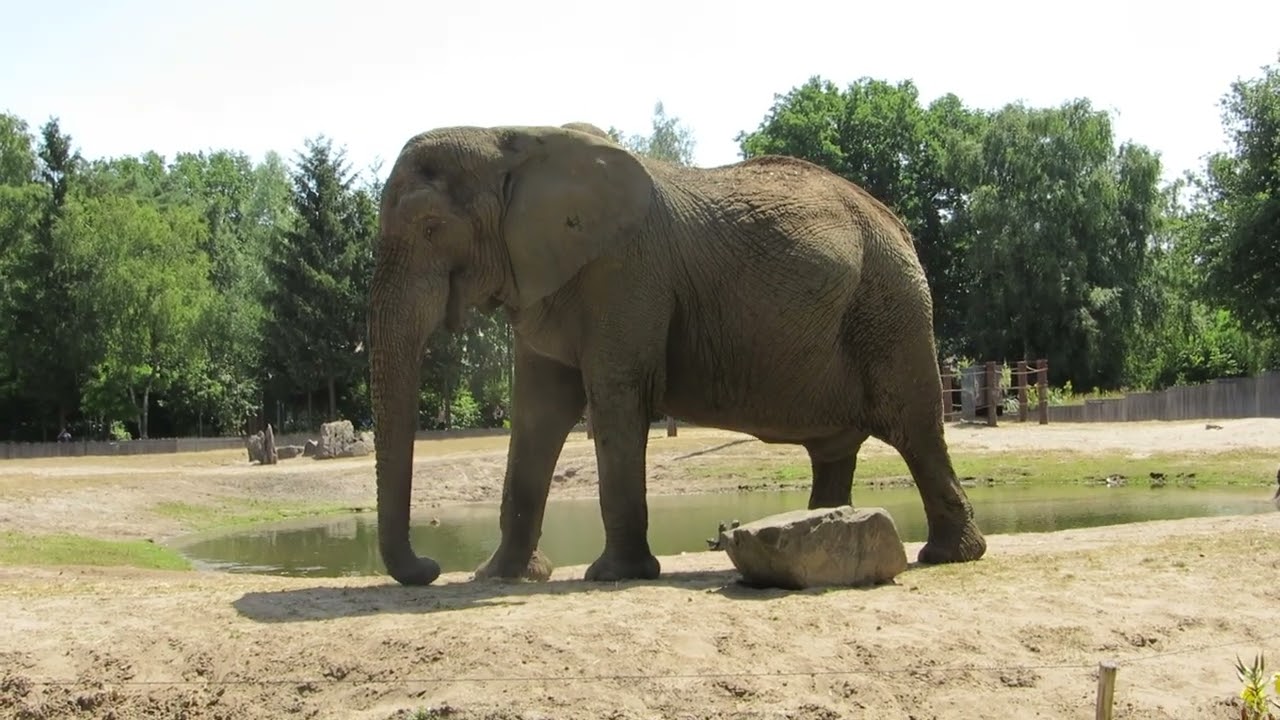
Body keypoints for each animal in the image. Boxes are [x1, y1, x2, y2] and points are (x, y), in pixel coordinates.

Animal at [368, 121, 988, 586]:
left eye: (431, 227)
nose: (430, 567)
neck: (506, 135)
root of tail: (897, 223)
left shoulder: (628, 272)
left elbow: (616, 396)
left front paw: (613, 575)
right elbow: (537, 414)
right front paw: (499, 577)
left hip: (891, 310)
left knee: (915, 428)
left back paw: (948, 556)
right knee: (838, 451)